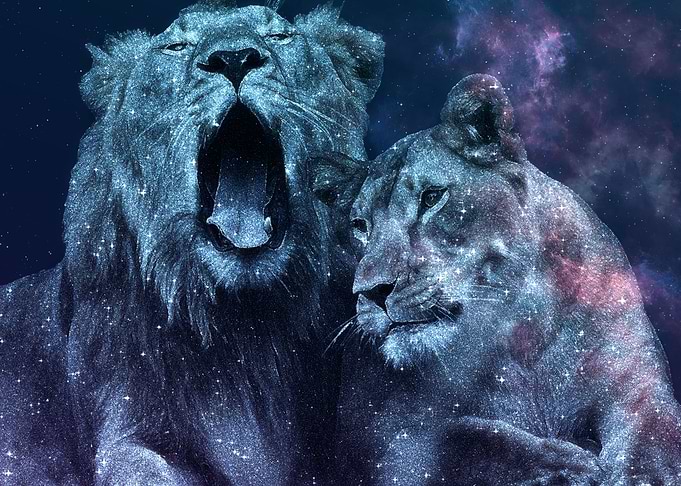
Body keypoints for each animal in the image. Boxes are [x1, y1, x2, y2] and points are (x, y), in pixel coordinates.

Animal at [319, 75, 681, 485]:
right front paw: (566, 466)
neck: (518, 334)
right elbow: (462, 442)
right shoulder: (380, 438)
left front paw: (637, 474)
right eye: (359, 225)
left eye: (432, 197)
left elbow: (652, 438)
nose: (373, 292)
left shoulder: (637, 387)